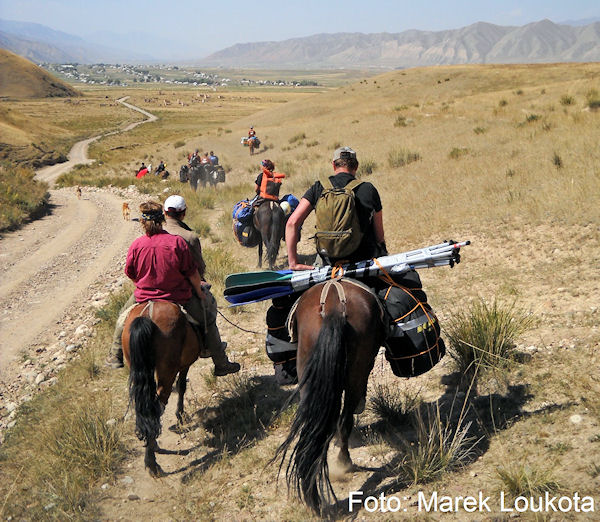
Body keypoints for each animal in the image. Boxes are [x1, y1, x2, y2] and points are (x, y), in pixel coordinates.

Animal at [123, 298, 205, 474]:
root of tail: (148, 315)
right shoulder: (184, 365)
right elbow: (181, 386)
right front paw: (180, 415)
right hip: (167, 371)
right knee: (158, 404)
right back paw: (152, 462)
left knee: (147, 407)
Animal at [274, 276, 386, 512]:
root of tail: (335, 308)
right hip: (356, 373)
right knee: (344, 419)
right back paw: (345, 462)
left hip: (309, 375)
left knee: (318, 422)